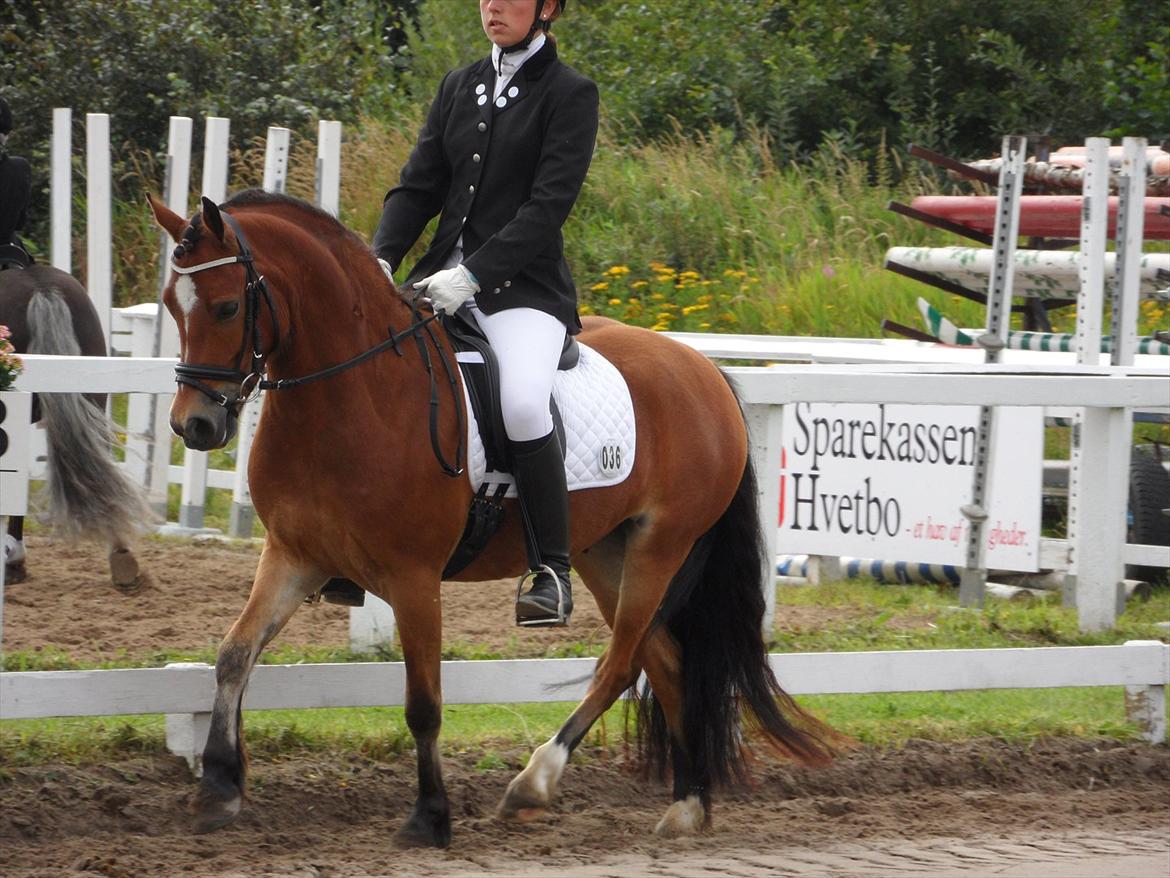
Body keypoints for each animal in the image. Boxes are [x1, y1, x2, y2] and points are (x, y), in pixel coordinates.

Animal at [149, 189, 840, 845]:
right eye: (171, 305)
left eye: (226, 308)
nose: (195, 426)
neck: (353, 395)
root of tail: (704, 369)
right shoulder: (293, 555)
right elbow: (234, 655)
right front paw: (218, 788)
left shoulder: (413, 578)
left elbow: (423, 702)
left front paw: (429, 818)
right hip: (603, 551)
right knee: (663, 660)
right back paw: (687, 806)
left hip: (661, 546)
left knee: (621, 663)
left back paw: (536, 782)